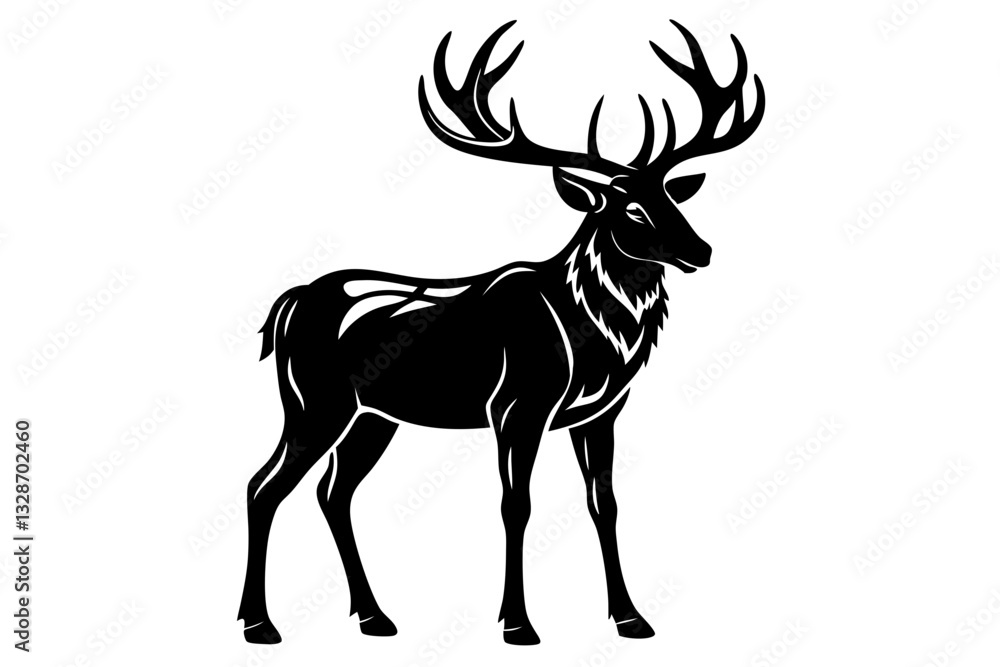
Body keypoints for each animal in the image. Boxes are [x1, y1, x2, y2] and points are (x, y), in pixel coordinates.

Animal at [238, 19, 764, 646]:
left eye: (669, 197)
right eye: (629, 209)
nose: (701, 250)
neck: (597, 338)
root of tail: (288, 304)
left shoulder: (602, 412)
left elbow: (604, 503)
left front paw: (631, 618)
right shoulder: (517, 403)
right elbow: (517, 504)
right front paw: (517, 623)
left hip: (373, 416)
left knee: (332, 492)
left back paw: (374, 616)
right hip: (315, 400)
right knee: (263, 485)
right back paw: (258, 623)